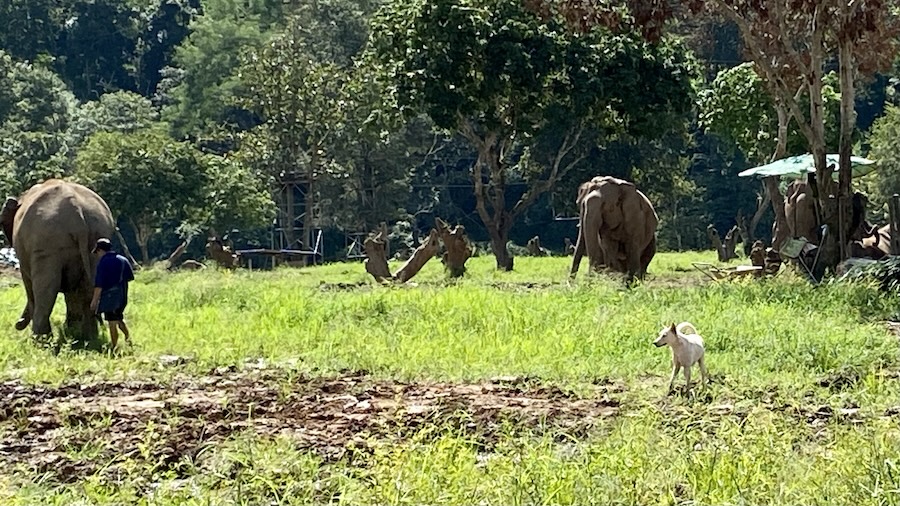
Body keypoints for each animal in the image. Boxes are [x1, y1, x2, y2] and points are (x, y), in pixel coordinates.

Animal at [0, 180, 115, 339]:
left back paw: (41, 340)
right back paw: (88, 338)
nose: (17, 324)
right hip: (97, 236)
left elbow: (29, 284)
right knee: (87, 288)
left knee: (45, 289)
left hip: (47, 242)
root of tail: (77, 213)